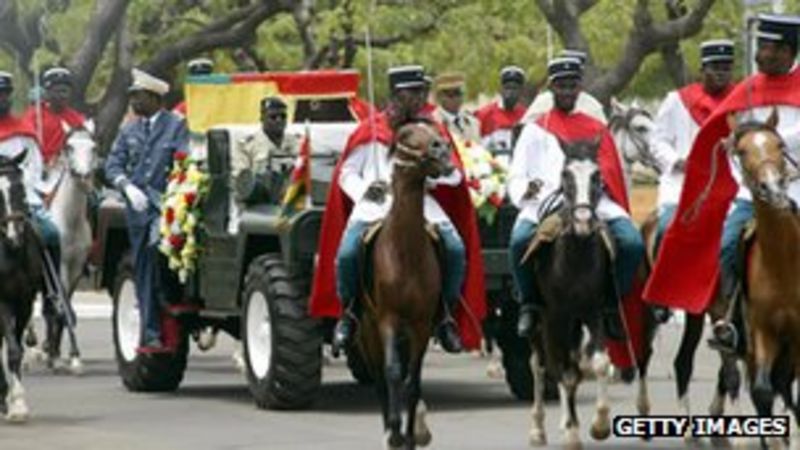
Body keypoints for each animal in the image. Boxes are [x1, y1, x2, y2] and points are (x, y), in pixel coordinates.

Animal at [356, 119, 456, 450]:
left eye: (433, 131)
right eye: (409, 137)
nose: (443, 149)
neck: (406, 253)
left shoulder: (421, 324)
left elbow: (412, 381)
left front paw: (411, 435)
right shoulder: (387, 320)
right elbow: (392, 374)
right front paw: (395, 431)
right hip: (367, 331)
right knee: (379, 379)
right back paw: (389, 429)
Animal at [524, 139, 620, 448]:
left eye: (597, 175)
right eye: (565, 175)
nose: (582, 221)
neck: (576, 255)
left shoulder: (593, 311)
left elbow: (599, 363)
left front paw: (599, 425)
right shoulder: (555, 317)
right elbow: (563, 373)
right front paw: (572, 433)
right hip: (542, 326)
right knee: (541, 366)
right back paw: (538, 428)